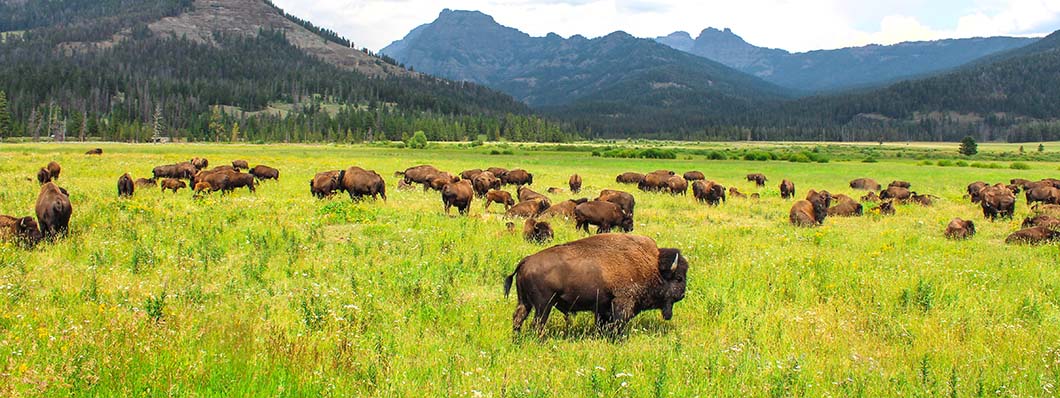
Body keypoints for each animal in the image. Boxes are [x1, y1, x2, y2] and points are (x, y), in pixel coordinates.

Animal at [502, 235, 686, 335]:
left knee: (518, 318)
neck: (652, 266)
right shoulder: (622, 303)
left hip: (525, 302)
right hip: (544, 305)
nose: (682, 295)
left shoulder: (603, 308)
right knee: (537, 323)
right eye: (678, 278)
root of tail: (526, 261)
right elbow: (618, 324)